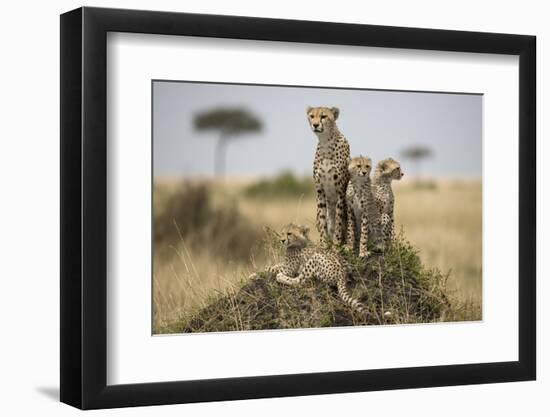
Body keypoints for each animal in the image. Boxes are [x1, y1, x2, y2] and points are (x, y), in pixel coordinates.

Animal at [308, 105, 352, 245]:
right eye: (312, 116)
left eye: (323, 116)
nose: (315, 125)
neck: (325, 142)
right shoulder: (320, 190)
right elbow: (323, 219)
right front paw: (324, 243)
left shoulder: (340, 191)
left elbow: (338, 219)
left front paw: (337, 243)